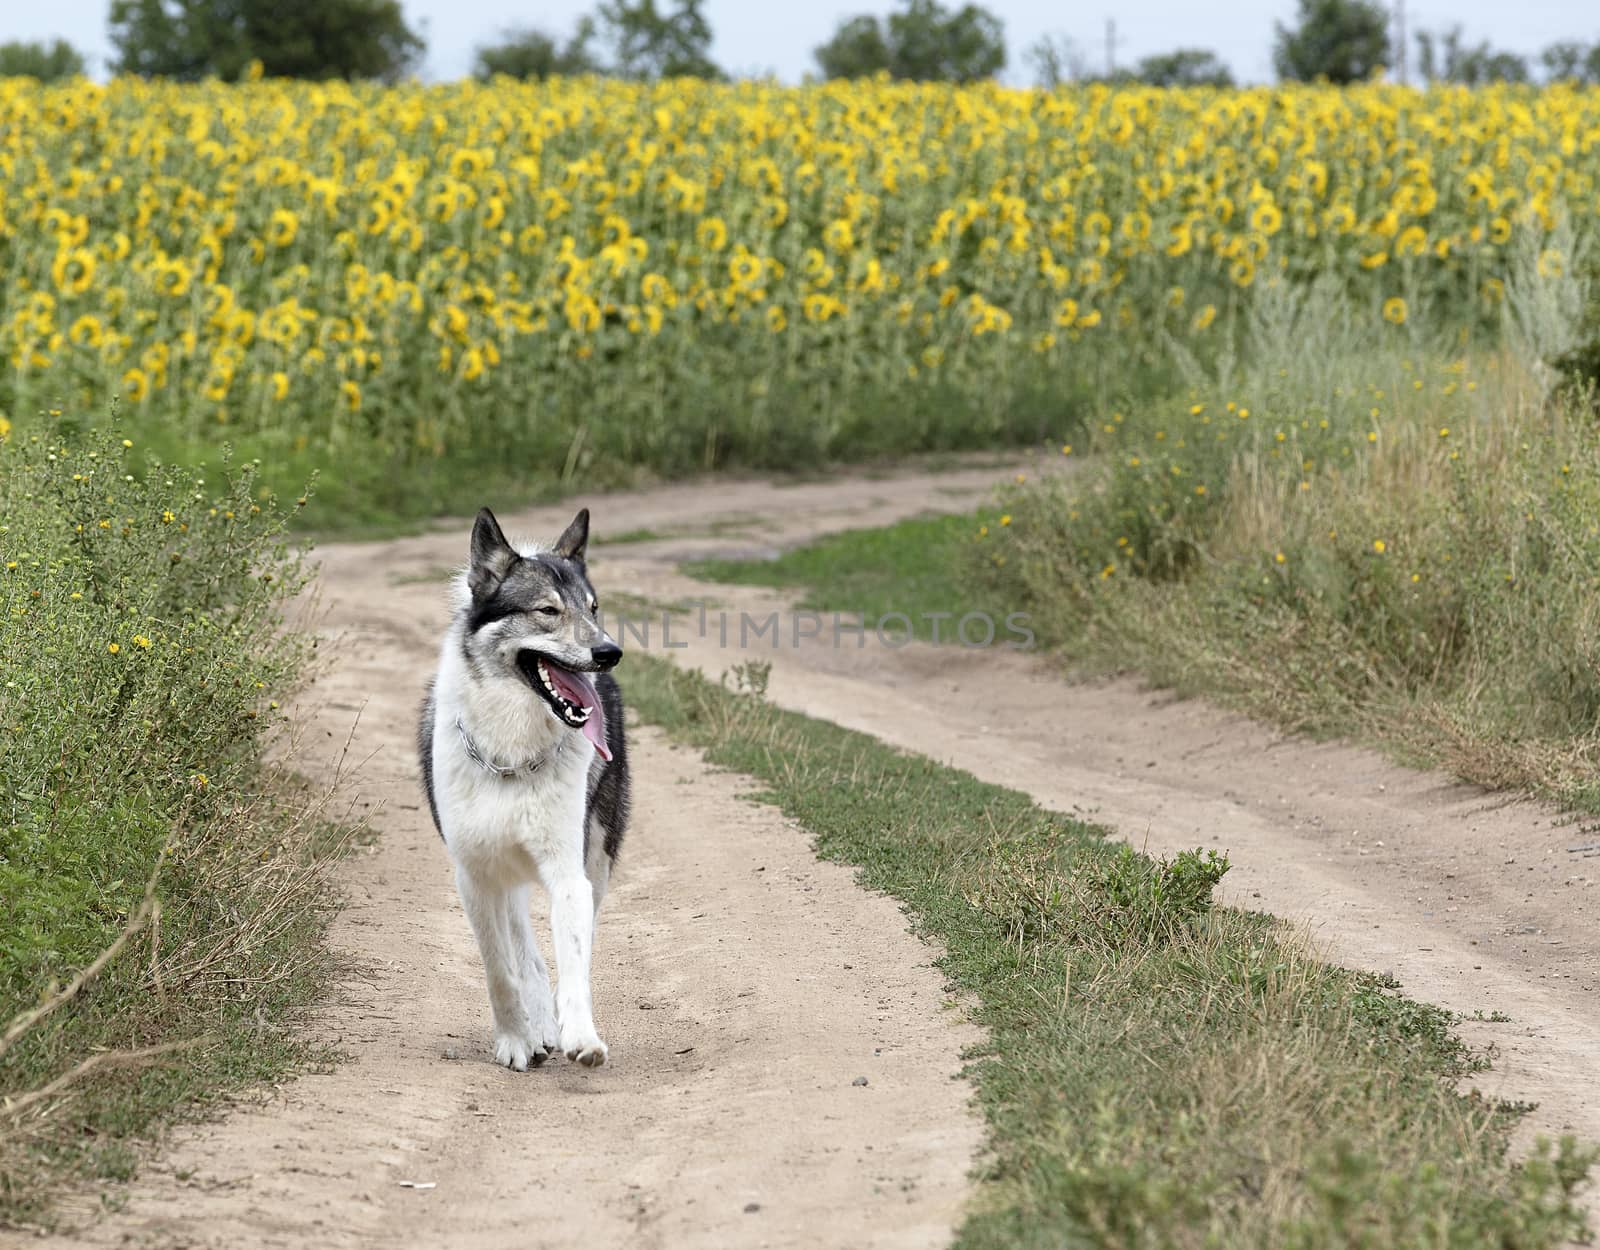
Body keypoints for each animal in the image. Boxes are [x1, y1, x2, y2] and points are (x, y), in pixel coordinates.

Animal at [419, 502, 624, 1069]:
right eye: (547, 611)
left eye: (593, 608)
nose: (609, 651)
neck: (512, 757)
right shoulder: (475, 879)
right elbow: (500, 972)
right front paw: (515, 1039)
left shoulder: (569, 873)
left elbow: (574, 965)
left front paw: (580, 1036)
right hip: (505, 876)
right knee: (524, 951)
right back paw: (537, 1028)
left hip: (597, 859)